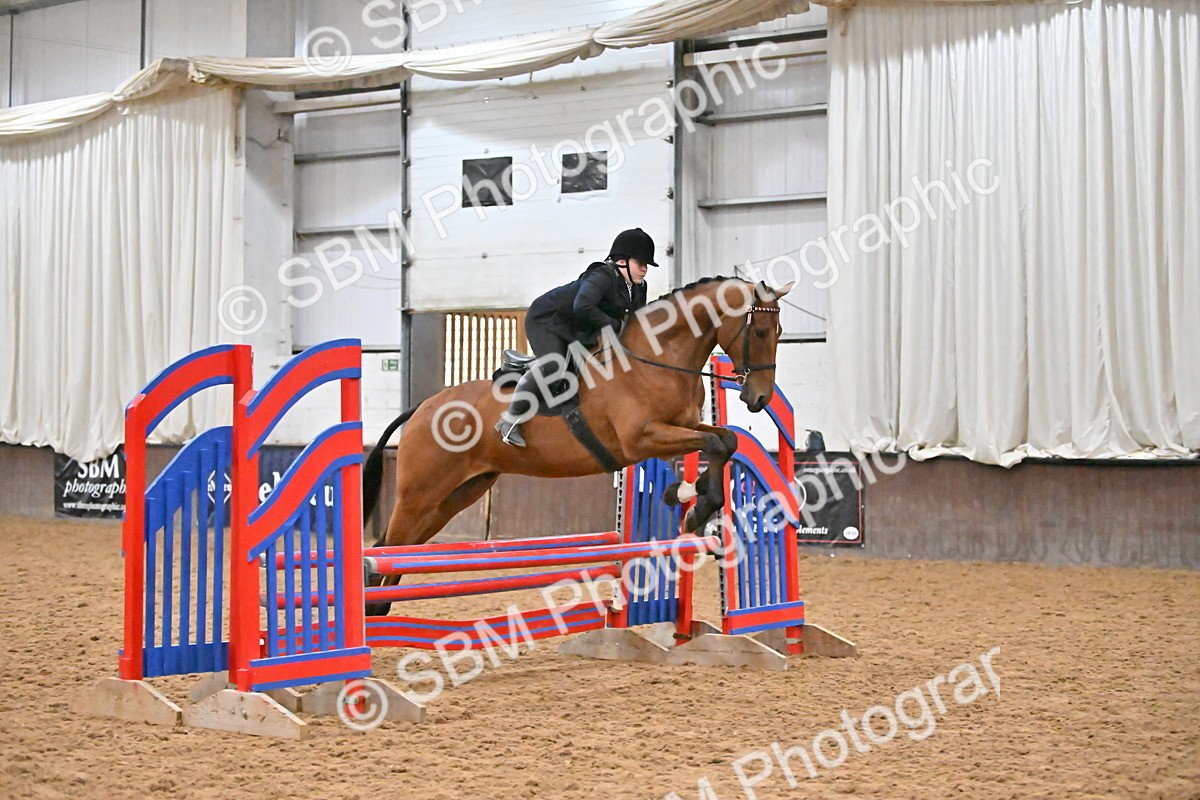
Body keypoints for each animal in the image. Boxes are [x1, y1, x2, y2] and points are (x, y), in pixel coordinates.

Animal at [360, 276, 794, 615]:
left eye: (779, 333)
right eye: (759, 332)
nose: (758, 398)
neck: (656, 360)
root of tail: (422, 408)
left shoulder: (680, 426)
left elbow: (725, 440)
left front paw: (692, 496)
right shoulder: (642, 439)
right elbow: (714, 445)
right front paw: (694, 504)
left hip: (458, 494)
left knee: (399, 548)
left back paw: (379, 605)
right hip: (421, 493)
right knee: (387, 545)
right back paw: (370, 610)